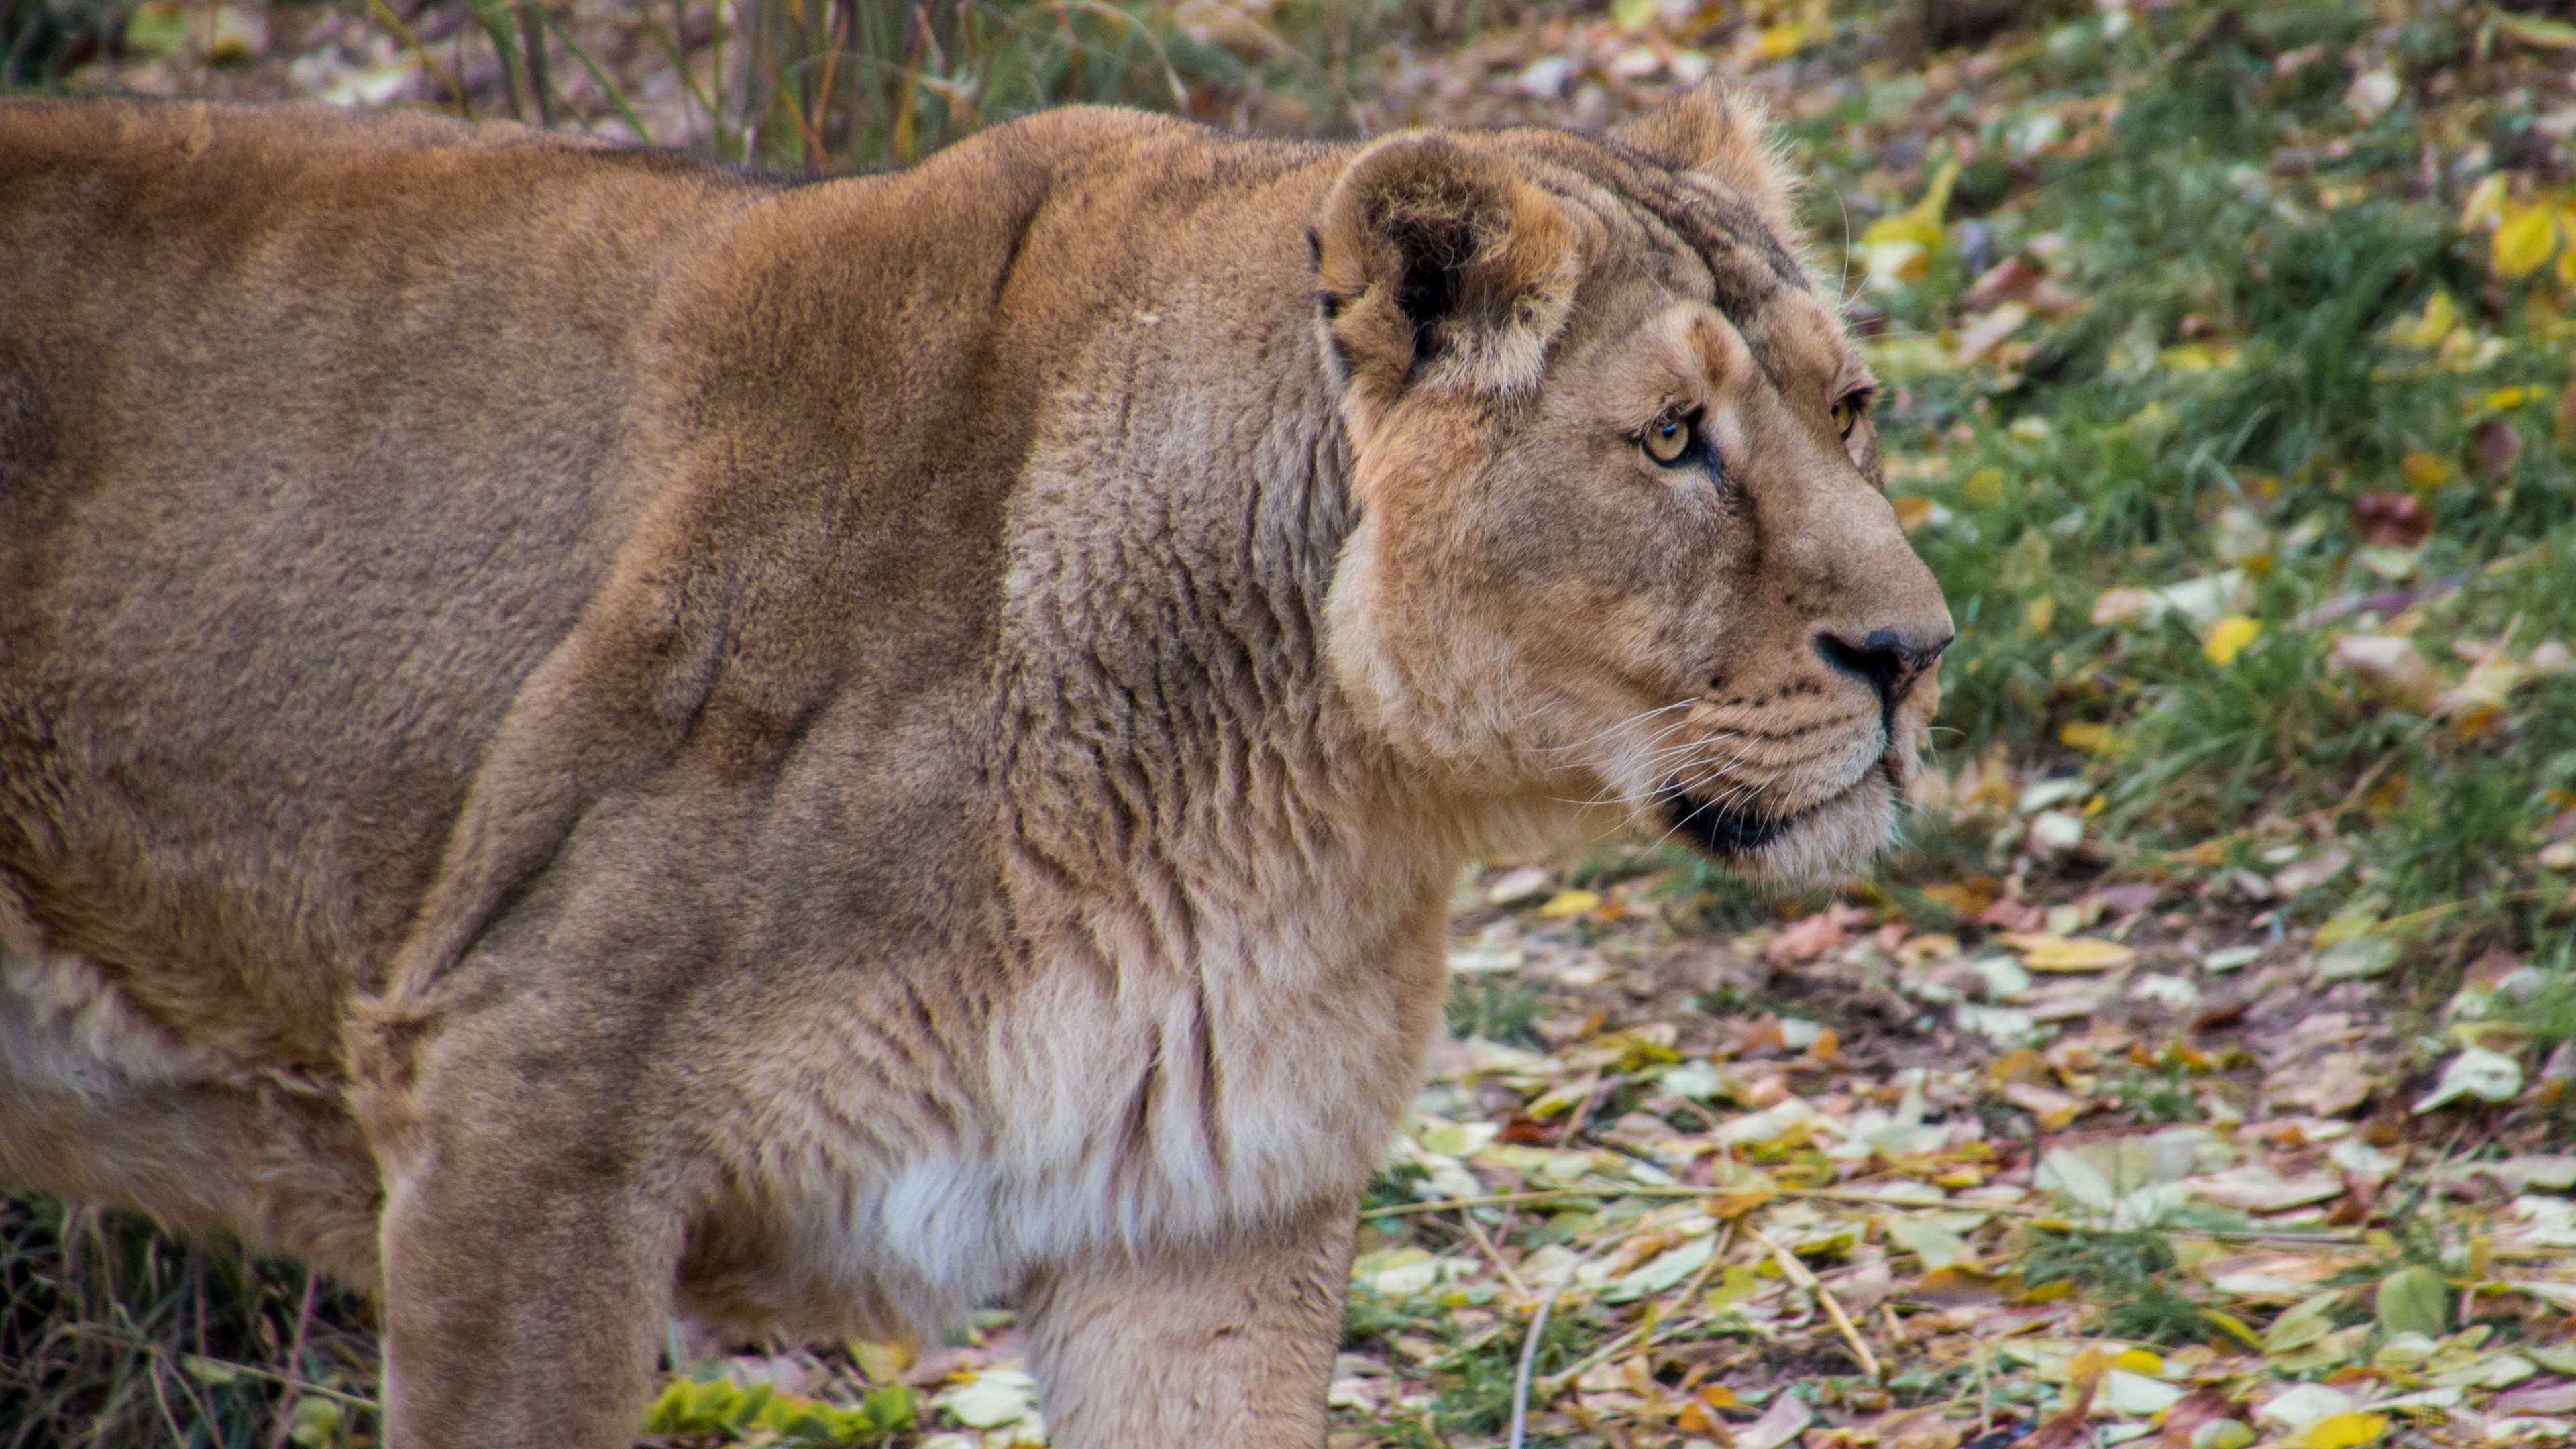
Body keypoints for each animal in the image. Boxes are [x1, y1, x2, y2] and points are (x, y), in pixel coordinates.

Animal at [0, 87, 1949, 1446]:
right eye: (1674, 441)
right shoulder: (517, 1102)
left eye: (1848, 410)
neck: (1305, 791)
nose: (1917, 654)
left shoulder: (1208, 1225)